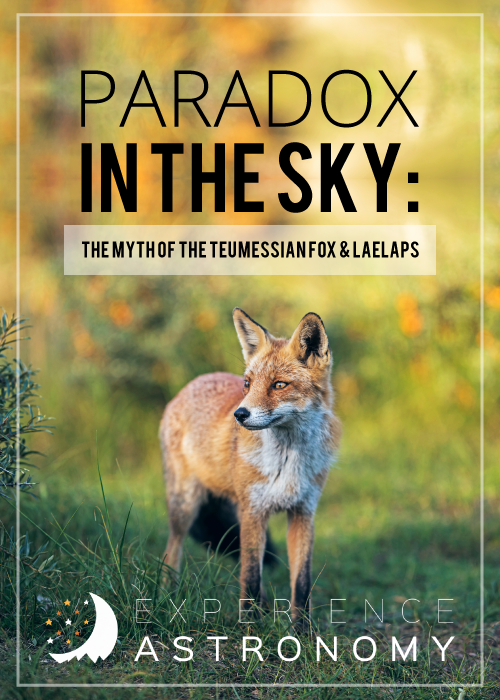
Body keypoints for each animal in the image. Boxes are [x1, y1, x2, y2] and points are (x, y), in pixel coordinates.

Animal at [160, 308, 341, 623]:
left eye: (279, 385)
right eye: (248, 384)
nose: (240, 414)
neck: (287, 461)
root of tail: (191, 384)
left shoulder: (303, 513)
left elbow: (301, 583)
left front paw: (301, 631)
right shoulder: (255, 511)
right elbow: (251, 577)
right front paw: (250, 628)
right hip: (186, 506)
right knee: (172, 551)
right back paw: (165, 597)